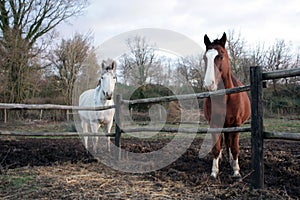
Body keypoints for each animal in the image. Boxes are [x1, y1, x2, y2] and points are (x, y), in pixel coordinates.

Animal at [202, 32, 251, 178]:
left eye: (221, 56)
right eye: (204, 58)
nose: (209, 84)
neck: (225, 97)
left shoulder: (236, 124)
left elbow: (234, 148)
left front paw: (236, 171)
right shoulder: (214, 124)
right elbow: (216, 147)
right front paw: (214, 171)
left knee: (230, 143)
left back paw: (231, 161)